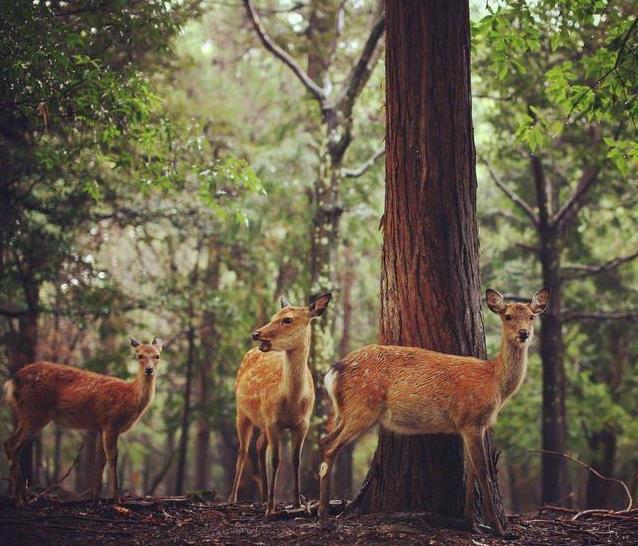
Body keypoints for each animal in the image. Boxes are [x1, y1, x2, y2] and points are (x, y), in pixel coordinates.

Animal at [3, 334, 162, 504]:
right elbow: (112, 457)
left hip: (25, 413)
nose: (149, 370)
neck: (130, 397)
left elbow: (101, 459)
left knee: (8, 443)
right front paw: (116, 499)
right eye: (139, 355)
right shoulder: (111, 422)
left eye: (157, 355)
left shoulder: (100, 426)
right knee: (14, 446)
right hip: (35, 412)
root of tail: (12, 382)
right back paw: (19, 499)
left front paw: (95, 497)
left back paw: (21, 495)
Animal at [228, 292, 332, 512]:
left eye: (288, 319)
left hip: (261, 421)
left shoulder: (303, 424)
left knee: (259, 445)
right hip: (242, 412)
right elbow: (276, 460)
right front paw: (271, 508)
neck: (292, 402)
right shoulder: (272, 421)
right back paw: (233, 499)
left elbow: (295, 460)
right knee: (242, 451)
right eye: (274, 315)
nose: (256, 334)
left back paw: (263, 496)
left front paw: (297, 503)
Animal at [318, 286, 552, 532]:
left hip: (347, 411)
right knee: (331, 448)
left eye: (531, 316)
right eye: (507, 316)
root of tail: (332, 372)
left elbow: (470, 473)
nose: (524, 333)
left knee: (325, 440)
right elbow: (483, 471)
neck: (494, 381)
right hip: (363, 407)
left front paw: (472, 524)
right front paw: (498, 529)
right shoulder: (473, 420)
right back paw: (323, 515)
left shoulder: (466, 425)